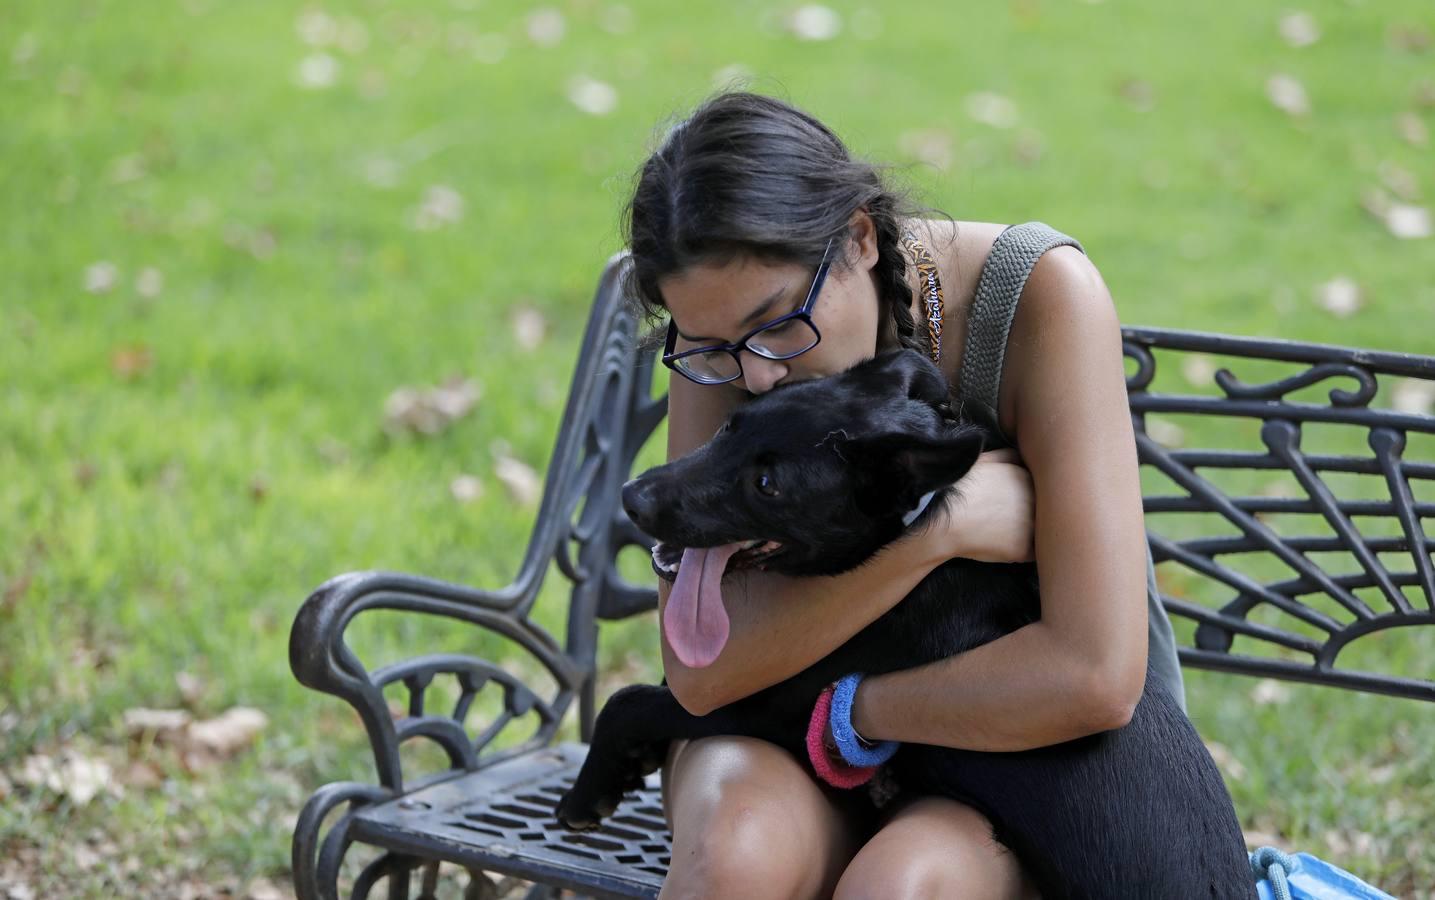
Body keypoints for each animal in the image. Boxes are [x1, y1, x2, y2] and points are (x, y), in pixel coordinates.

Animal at [553, 348, 1251, 895]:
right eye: (730, 425)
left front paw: (587, 793)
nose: (632, 498)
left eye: (768, 483)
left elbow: (631, 699)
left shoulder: (778, 704)